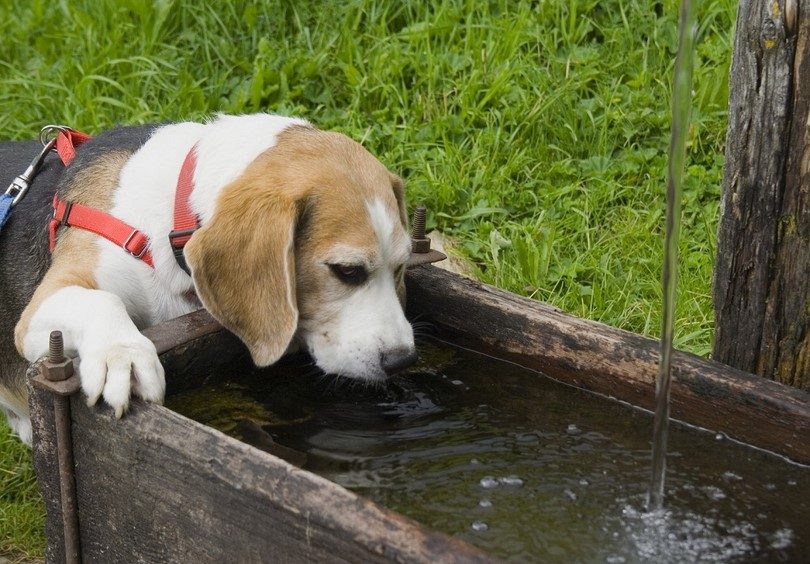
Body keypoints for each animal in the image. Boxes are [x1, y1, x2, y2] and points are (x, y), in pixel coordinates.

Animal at [0, 113, 416, 446]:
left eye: (400, 266)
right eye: (347, 271)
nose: (403, 360)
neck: (169, 218)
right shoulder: (44, 306)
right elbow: (102, 300)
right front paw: (123, 354)